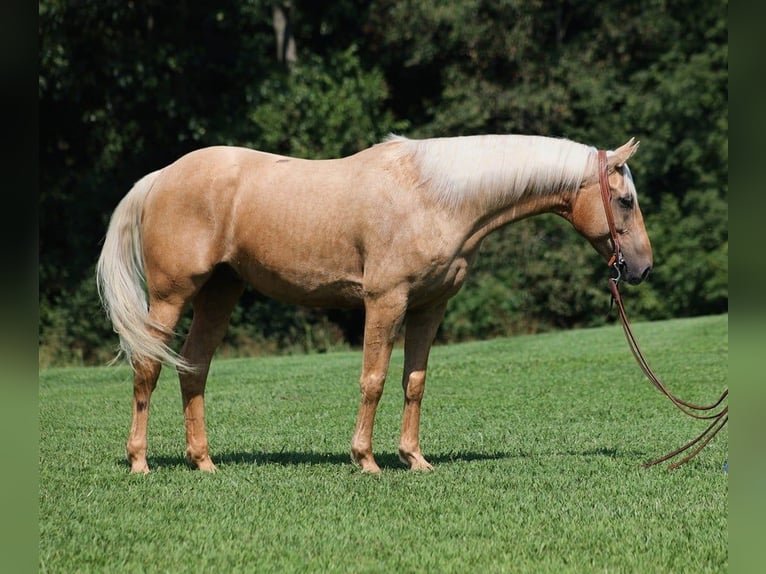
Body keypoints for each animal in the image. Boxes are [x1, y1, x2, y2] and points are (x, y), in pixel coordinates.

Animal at [96, 134, 652, 474]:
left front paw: (414, 458)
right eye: (625, 200)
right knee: (148, 368)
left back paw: (204, 462)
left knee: (194, 367)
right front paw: (366, 459)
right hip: (171, 296)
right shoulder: (386, 301)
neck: (434, 195)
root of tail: (161, 176)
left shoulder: (429, 307)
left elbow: (414, 382)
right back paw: (140, 461)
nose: (642, 268)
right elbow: (374, 379)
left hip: (220, 292)